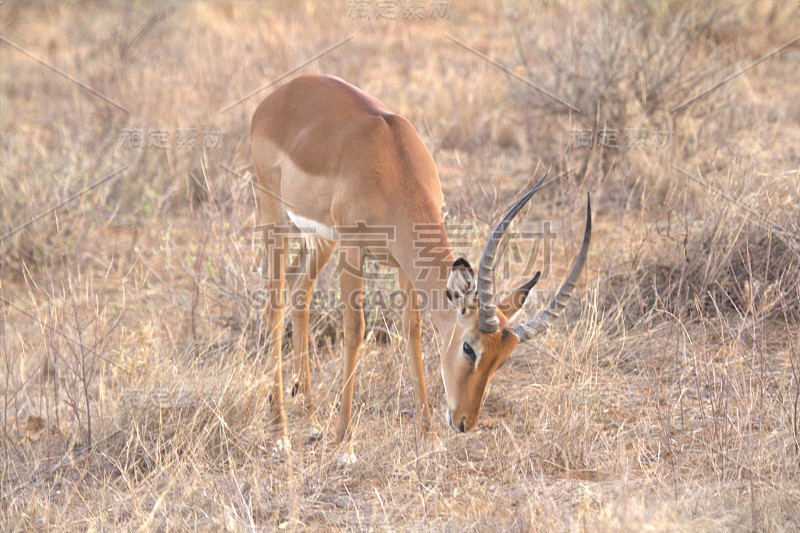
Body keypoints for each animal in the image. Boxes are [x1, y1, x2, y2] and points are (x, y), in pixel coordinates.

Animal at [252, 74, 592, 440]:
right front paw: (345, 440)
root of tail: (278, 95)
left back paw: (311, 419)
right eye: (469, 347)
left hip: (321, 238)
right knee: (275, 304)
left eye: (502, 360)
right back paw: (279, 430)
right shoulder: (353, 249)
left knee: (299, 288)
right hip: (276, 220)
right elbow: (355, 330)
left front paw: (428, 435)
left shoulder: (403, 262)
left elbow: (412, 331)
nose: (463, 422)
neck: (389, 160)